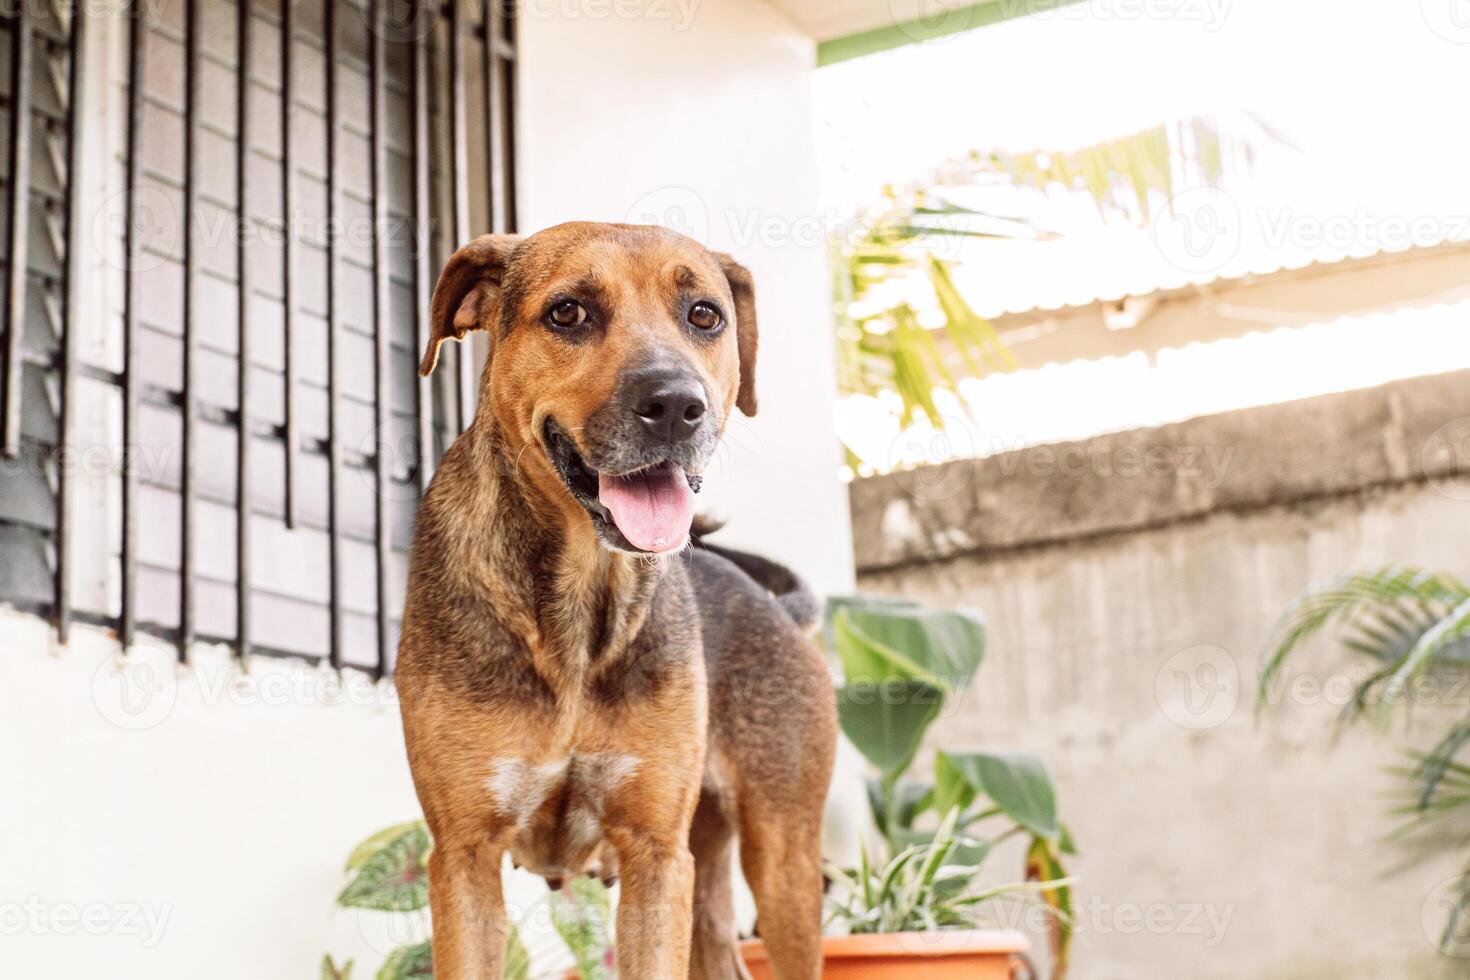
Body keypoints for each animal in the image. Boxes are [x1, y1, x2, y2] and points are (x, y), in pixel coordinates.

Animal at [396, 224, 840, 980]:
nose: (676, 406)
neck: (577, 604)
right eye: (568, 312)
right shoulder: (463, 856)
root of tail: (773, 608)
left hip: (782, 858)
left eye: (704, 316)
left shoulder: (655, 855)